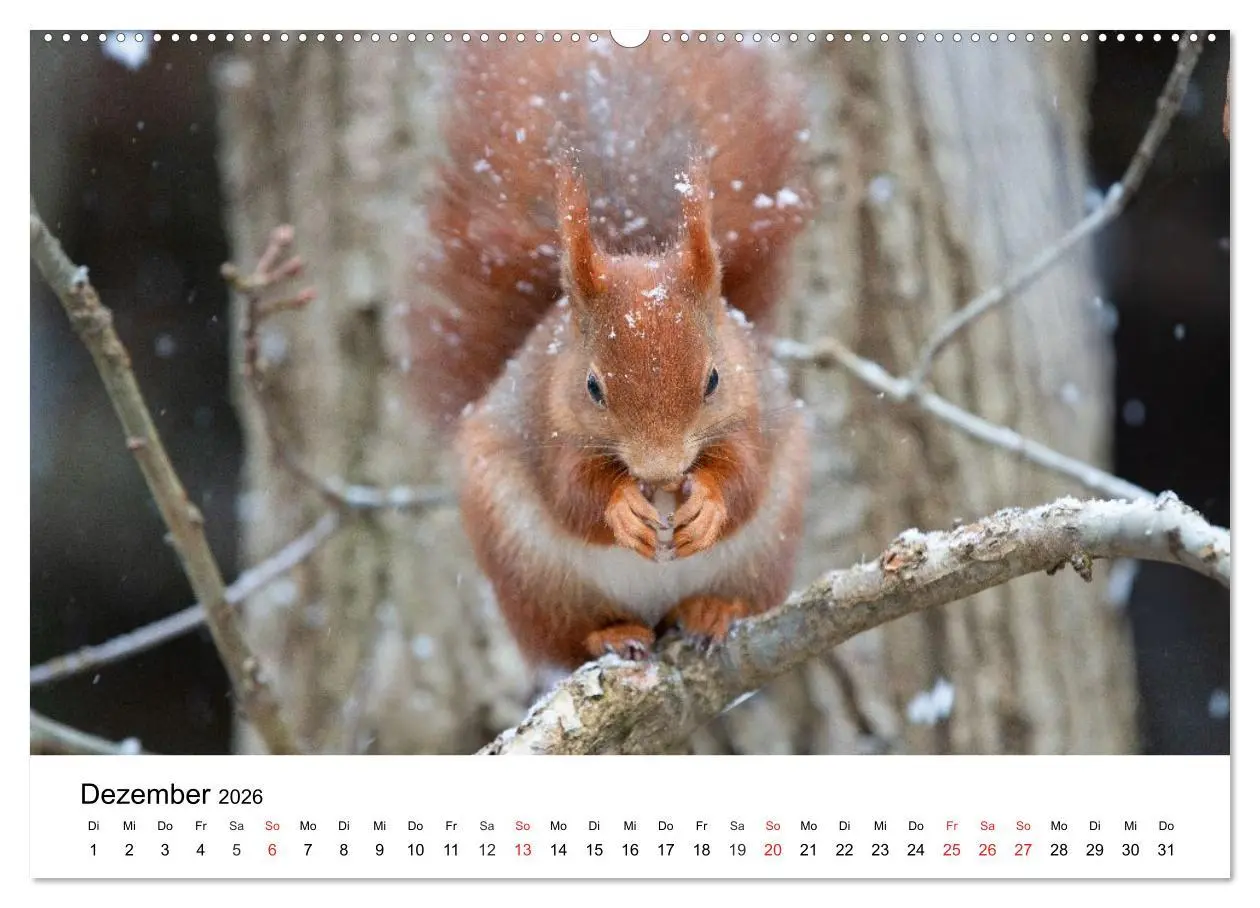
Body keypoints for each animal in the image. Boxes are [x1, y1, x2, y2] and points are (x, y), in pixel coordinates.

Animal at [408, 39, 815, 670]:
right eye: (593, 387)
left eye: (714, 379)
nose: (661, 470)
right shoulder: (547, 422)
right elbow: (572, 492)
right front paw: (621, 505)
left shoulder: (753, 413)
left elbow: (744, 476)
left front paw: (708, 503)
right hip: (532, 574)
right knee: (569, 635)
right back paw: (612, 634)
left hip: (764, 552)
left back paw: (712, 611)